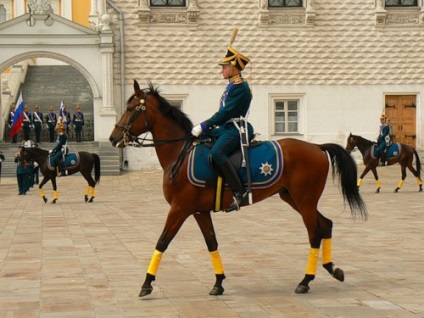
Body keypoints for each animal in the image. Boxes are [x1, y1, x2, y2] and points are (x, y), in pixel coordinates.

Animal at [109, 80, 368, 296]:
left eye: (131, 108)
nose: (113, 138)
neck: (180, 152)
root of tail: (317, 147)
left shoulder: (179, 209)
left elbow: (162, 242)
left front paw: (146, 283)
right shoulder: (198, 211)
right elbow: (211, 243)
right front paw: (218, 282)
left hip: (305, 201)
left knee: (315, 232)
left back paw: (305, 281)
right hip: (293, 198)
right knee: (326, 224)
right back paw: (332, 269)